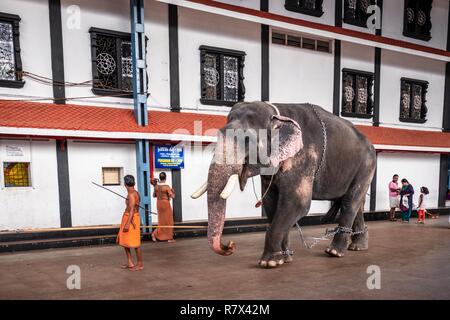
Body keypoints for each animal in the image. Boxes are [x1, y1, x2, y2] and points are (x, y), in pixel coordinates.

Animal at [190, 102, 376, 268]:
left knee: (351, 201)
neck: (277, 114)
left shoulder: (303, 157)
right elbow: (271, 203)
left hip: (367, 165)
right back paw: (358, 246)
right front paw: (284, 259)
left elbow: (297, 203)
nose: (230, 245)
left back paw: (334, 252)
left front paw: (269, 263)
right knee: (357, 202)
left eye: (248, 139)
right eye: (218, 135)